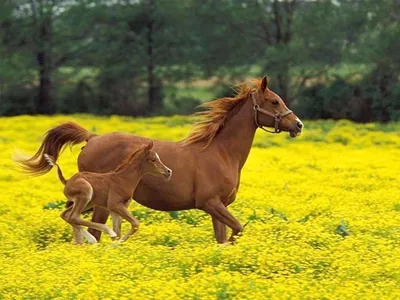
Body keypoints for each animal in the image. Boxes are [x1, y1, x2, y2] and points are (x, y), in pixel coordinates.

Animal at [44, 141, 172, 244]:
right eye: (153, 159)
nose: (168, 171)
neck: (123, 179)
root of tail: (67, 181)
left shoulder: (116, 208)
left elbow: (119, 231)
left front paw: (114, 246)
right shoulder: (114, 204)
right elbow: (135, 224)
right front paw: (115, 243)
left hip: (88, 202)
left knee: (66, 215)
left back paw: (81, 241)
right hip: (86, 193)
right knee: (74, 216)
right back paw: (97, 236)